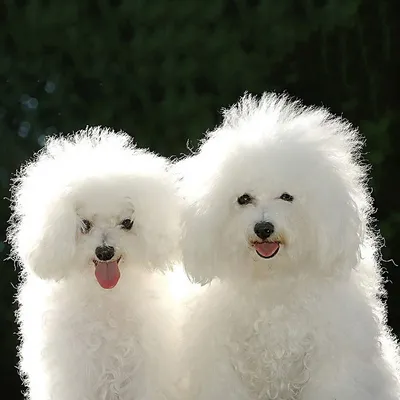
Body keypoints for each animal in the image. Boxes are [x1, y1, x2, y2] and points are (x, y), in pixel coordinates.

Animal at [8, 127, 180, 400]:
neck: (106, 298)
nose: (105, 252)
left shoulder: (144, 373)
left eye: (127, 222)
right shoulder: (75, 375)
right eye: (85, 224)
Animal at [178, 93, 400, 400]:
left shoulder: (332, 358)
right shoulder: (221, 363)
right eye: (243, 199)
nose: (263, 228)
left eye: (286, 196)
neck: (274, 280)